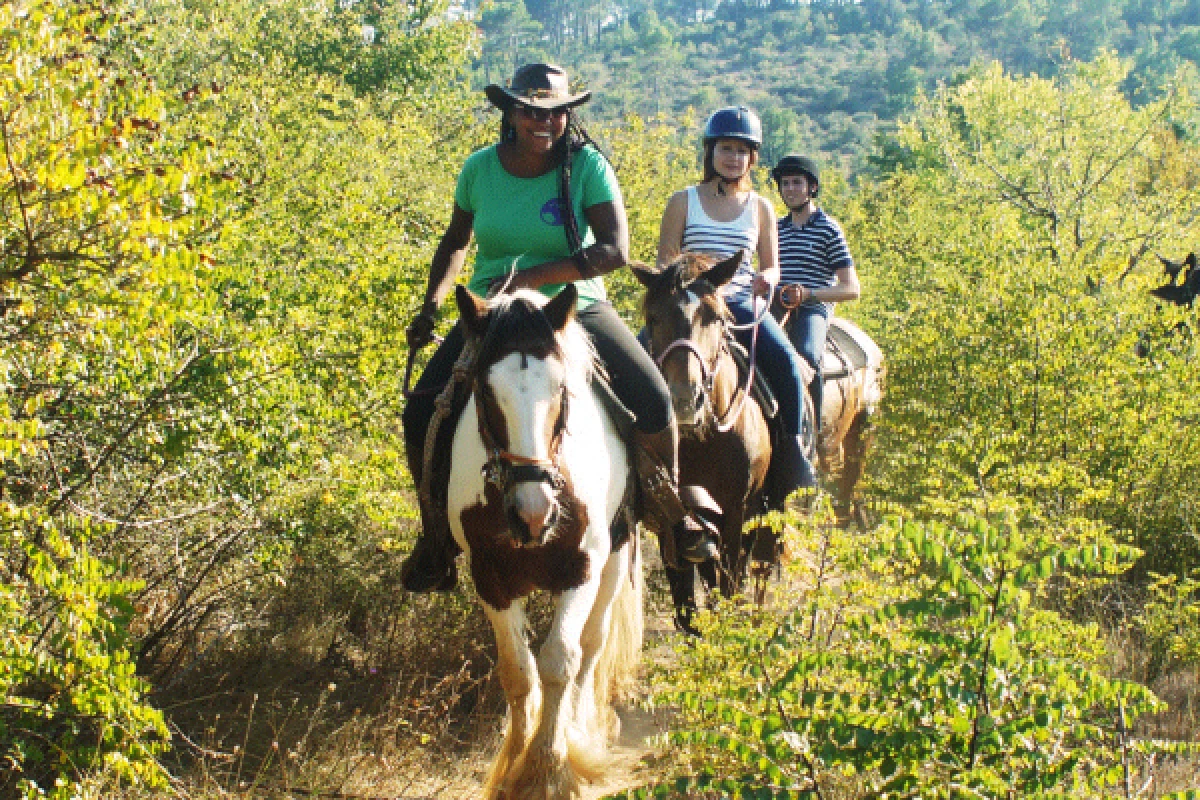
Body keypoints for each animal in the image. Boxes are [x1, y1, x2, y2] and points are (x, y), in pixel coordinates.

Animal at [446, 284, 643, 796]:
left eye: (562, 390)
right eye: (484, 391)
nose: (533, 515)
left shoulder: (582, 567)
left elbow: (561, 660)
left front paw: (548, 768)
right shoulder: (490, 576)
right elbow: (517, 670)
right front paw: (513, 763)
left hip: (616, 558)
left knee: (591, 645)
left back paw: (582, 730)